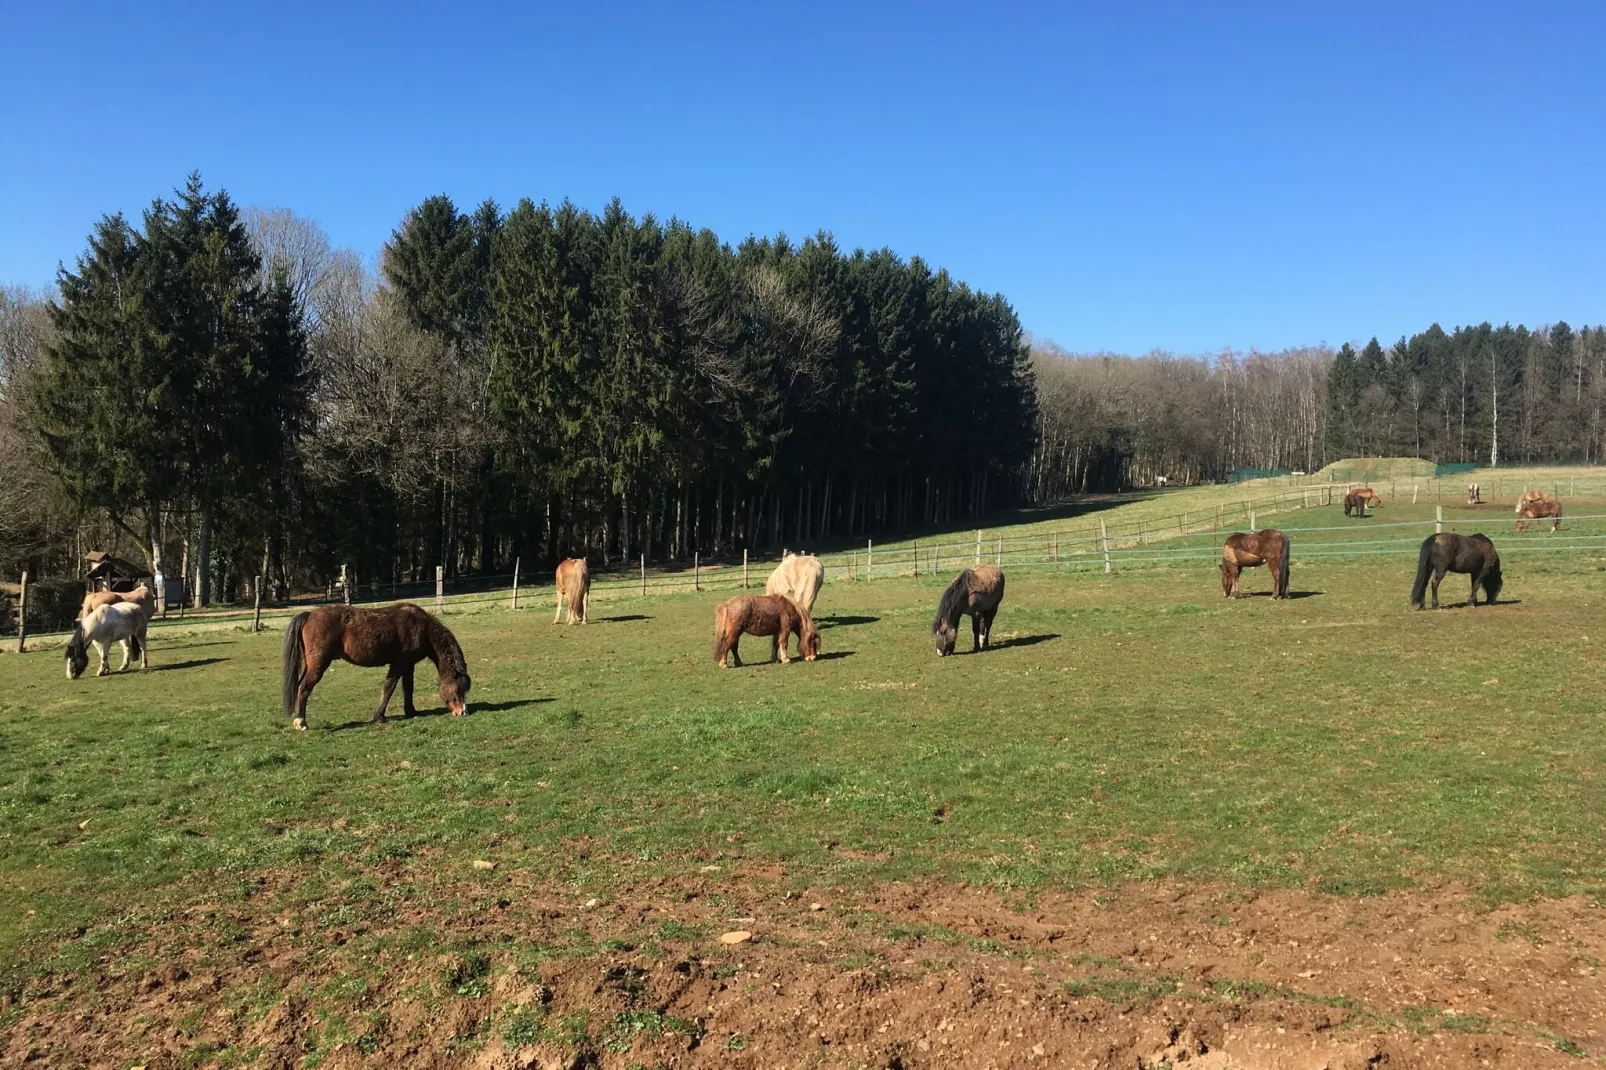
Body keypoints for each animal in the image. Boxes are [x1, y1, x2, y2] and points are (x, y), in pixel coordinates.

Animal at [281, 600, 468, 726]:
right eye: (457, 690)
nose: (461, 712)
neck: (422, 627)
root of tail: (309, 615)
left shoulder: (408, 665)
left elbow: (408, 687)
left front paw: (411, 711)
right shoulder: (398, 664)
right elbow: (388, 688)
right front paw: (379, 717)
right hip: (318, 665)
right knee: (303, 687)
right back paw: (301, 722)